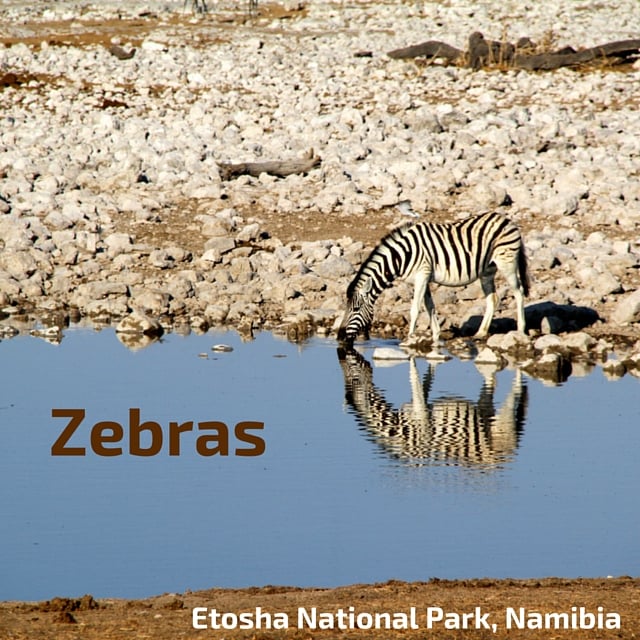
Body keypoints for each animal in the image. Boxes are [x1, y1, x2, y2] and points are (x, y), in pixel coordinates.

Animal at [338, 211, 528, 344]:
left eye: (355, 309)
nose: (339, 337)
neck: (402, 256)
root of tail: (506, 219)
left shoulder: (422, 275)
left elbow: (415, 309)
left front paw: (409, 338)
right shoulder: (425, 278)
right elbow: (430, 307)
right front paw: (436, 335)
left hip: (507, 263)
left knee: (519, 292)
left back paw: (521, 330)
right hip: (487, 270)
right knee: (493, 299)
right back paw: (480, 333)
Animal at [338, 348, 528, 468]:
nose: (343, 347)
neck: (398, 429)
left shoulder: (420, 414)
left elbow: (415, 379)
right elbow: (423, 384)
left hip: (503, 423)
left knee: (515, 394)